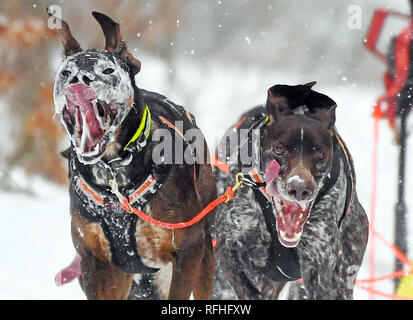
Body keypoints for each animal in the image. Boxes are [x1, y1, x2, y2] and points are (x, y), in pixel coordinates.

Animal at [50, 10, 216, 300]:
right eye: (66, 72)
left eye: (108, 69)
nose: (78, 80)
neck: (115, 177)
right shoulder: (96, 262)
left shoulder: (188, 252)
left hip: (205, 256)